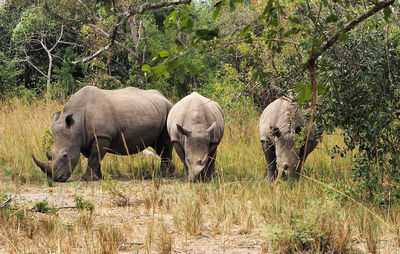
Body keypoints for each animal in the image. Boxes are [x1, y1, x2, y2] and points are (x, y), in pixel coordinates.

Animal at [32, 86, 173, 182]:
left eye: (65, 155)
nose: (56, 178)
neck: (76, 124)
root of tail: (165, 98)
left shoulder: (102, 135)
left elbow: (95, 156)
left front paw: (87, 179)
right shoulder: (85, 138)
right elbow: (94, 157)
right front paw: (98, 177)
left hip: (168, 110)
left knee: (164, 144)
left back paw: (164, 175)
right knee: (158, 146)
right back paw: (169, 172)